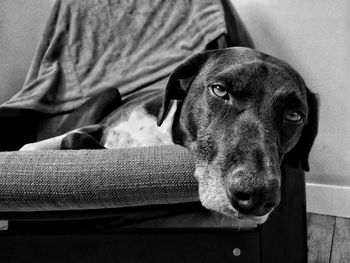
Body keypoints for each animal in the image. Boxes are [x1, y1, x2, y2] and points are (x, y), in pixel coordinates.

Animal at [21, 47, 318, 225]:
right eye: (220, 90)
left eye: (295, 116)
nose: (257, 196)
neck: (163, 139)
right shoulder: (100, 127)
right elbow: (73, 138)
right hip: (108, 93)